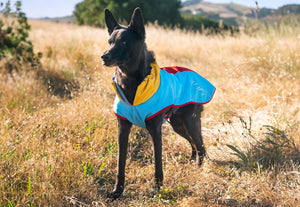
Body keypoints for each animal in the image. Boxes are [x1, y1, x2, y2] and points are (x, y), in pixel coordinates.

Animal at [102, 7, 214, 199]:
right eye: (109, 42)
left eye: (124, 42)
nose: (104, 56)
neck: (132, 84)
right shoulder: (122, 129)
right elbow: (120, 164)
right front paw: (117, 191)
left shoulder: (155, 130)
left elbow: (157, 163)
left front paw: (157, 189)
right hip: (178, 124)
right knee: (193, 143)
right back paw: (192, 160)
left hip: (191, 121)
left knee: (200, 145)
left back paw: (199, 168)